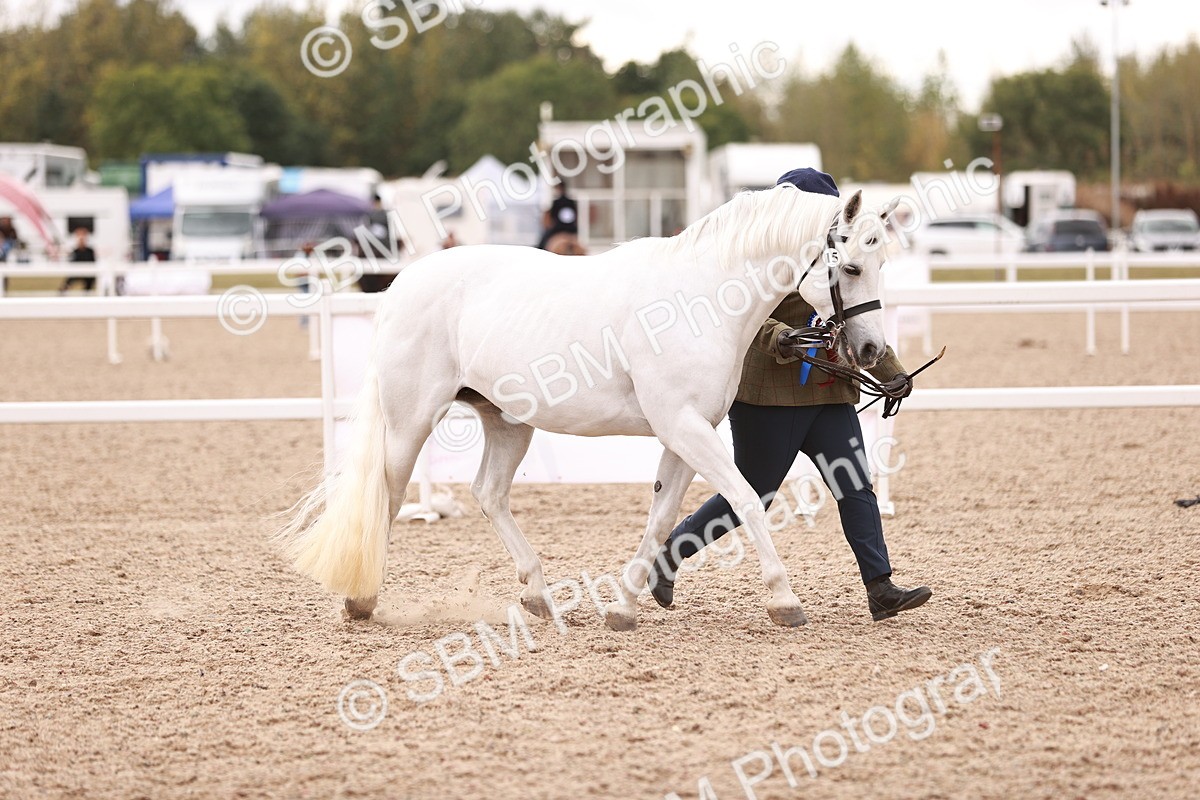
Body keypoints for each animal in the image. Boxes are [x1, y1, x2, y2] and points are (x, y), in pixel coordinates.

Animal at [276, 185, 900, 631]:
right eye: (849, 267)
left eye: (881, 263)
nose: (871, 350)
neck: (700, 299)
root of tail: (400, 285)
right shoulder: (685, 427)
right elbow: (747, 499)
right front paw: (784, 600)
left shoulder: (685, 432)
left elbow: (661, 517)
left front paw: (623, 607)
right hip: (410, 422)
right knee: (388, 493)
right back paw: (361, 600)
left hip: (507, 421)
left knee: (488, 493)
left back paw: (538, 596)